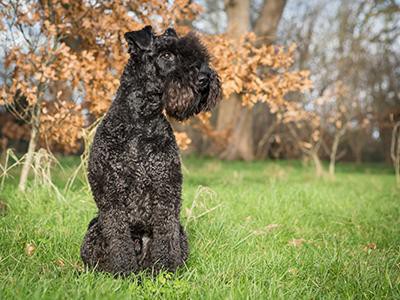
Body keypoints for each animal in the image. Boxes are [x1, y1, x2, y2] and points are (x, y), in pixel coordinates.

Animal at [79, 26, 220, 276]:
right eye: (166, 55)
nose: (204, 78)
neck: (141, 121)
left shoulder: (166, 189)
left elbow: (165, 234)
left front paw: (165, 270)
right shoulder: (112, 194)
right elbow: (118, 237)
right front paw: (123, 272)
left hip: (181, 234)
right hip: (93, 230)